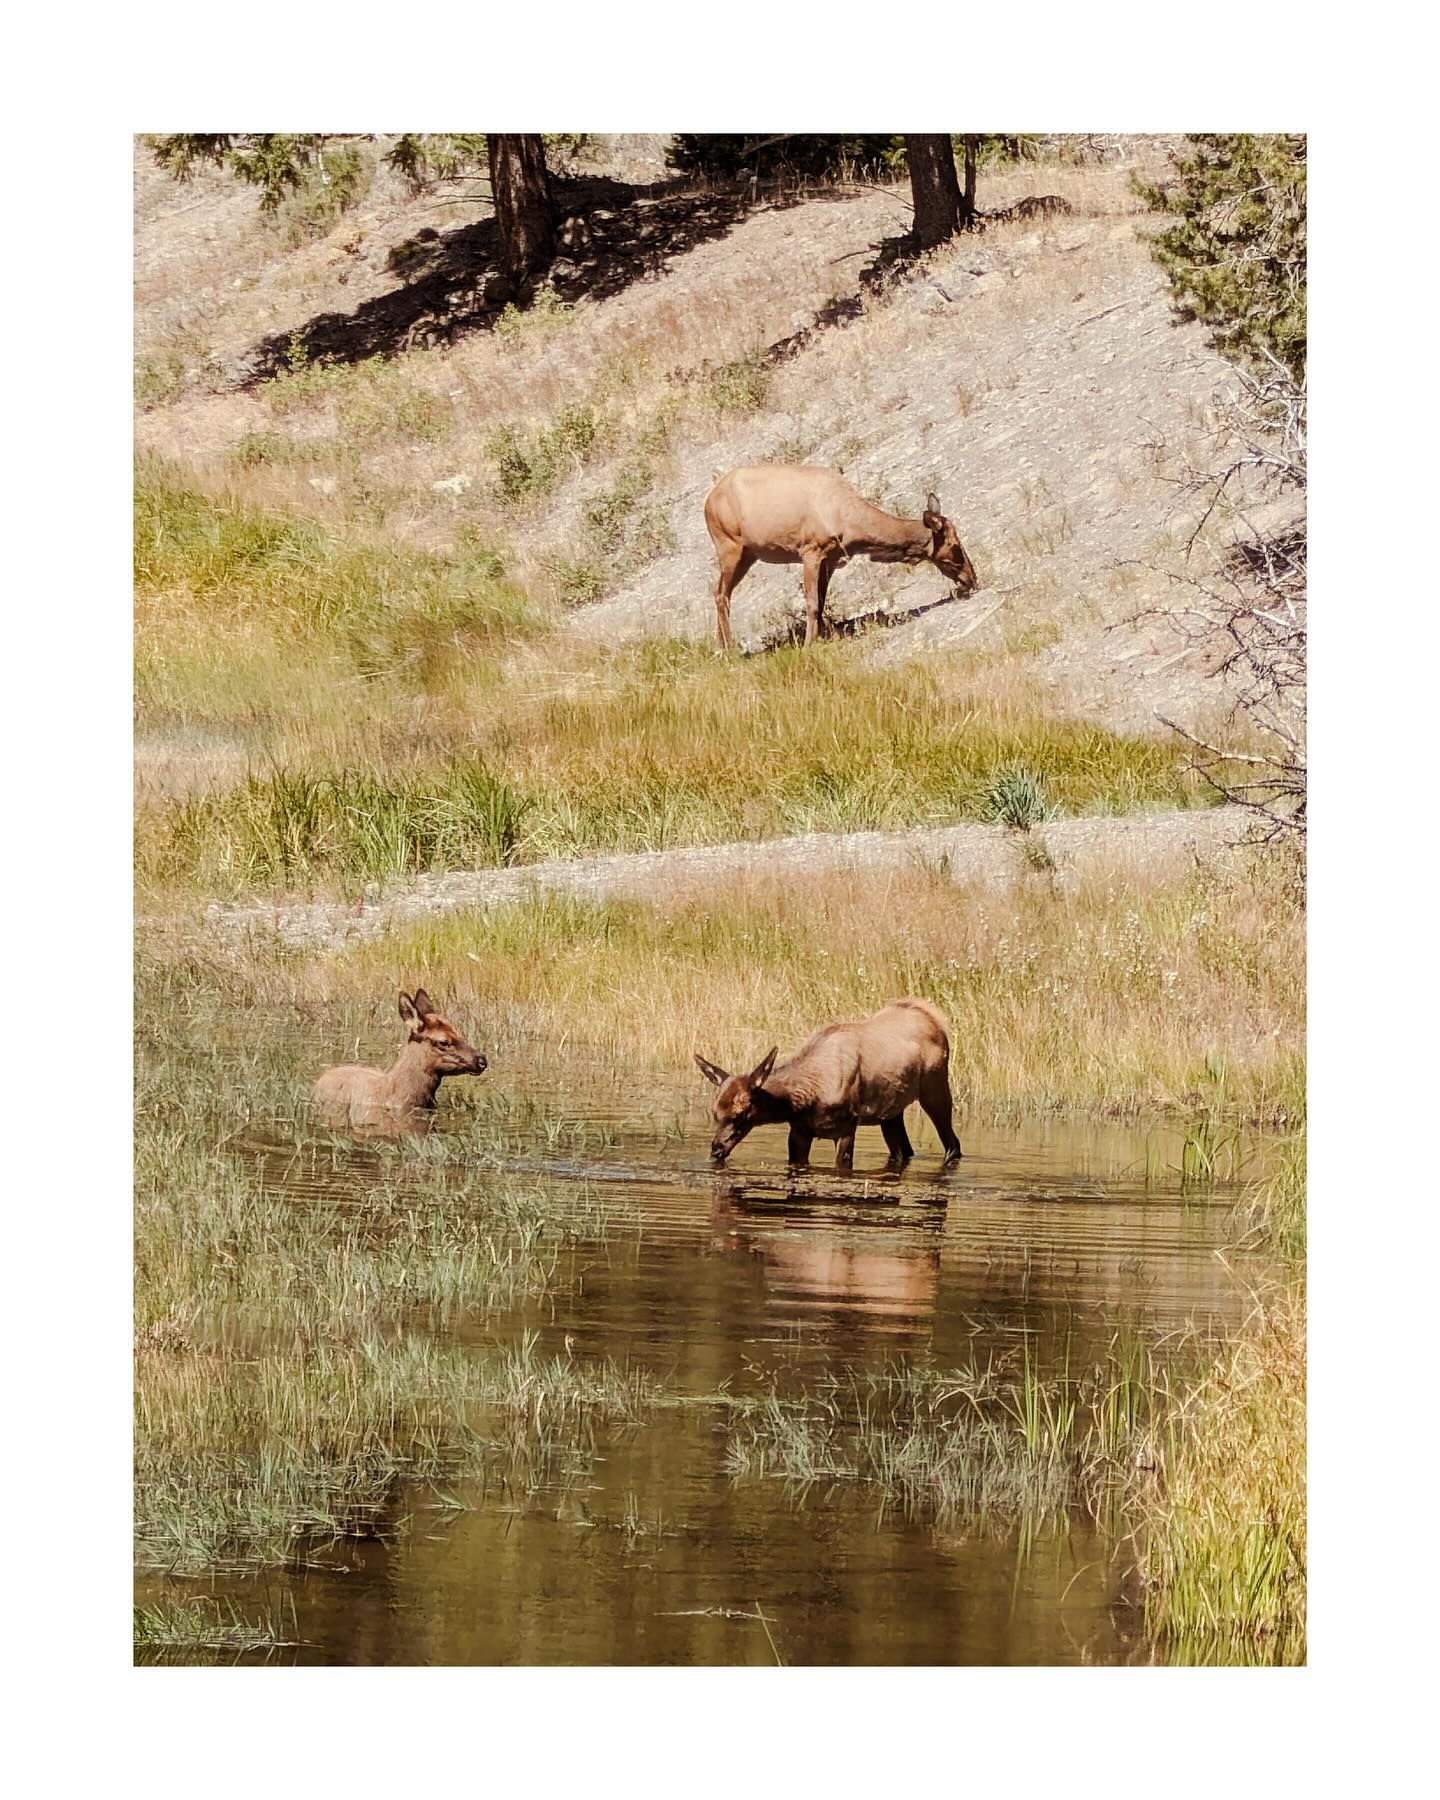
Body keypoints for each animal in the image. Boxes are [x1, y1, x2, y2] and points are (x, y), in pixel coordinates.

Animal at [695, 998, 963, 1172]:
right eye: (715, 1113)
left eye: (741, 1114)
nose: (716, 1149)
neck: (804, 1101)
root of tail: (935, 1017)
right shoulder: (800, 1130)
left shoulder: (847, 1126)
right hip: (891, 1113)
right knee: (904, 1150)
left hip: (935, 1088)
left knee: (953, 1143)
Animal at [703, 465, 979, 650]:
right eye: (954, 545)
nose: (972, 579)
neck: (850, 524)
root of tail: (708, 502)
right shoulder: (810, 550)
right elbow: (812, 602)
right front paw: (809, 644)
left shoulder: (833, 557)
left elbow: (821, 600)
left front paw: (824, 636)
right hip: (729, 546)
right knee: (720, 593)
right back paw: (730, 649)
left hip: (748, 553)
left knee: (721, 592)